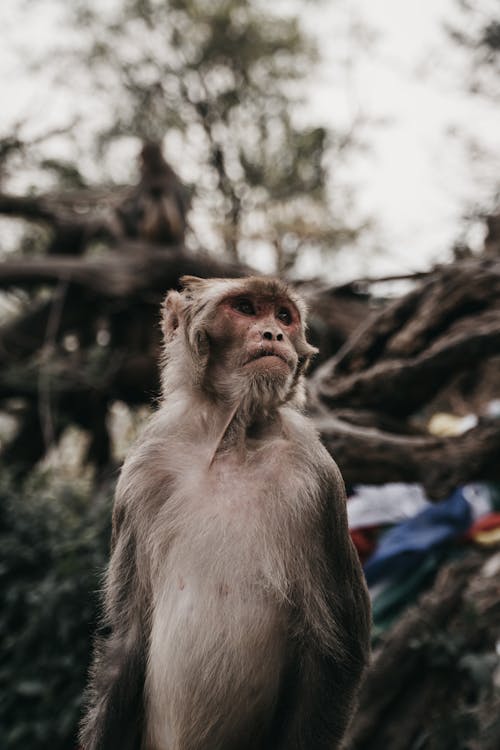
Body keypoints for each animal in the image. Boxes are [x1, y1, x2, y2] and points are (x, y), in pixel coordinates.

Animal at [80, 276, 372, 750]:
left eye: (284, 316)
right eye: (247, 308)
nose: (274, 334)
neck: (231, 441)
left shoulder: (318, 478)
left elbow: (337, 649)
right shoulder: (142, 473)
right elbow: (126, 638)